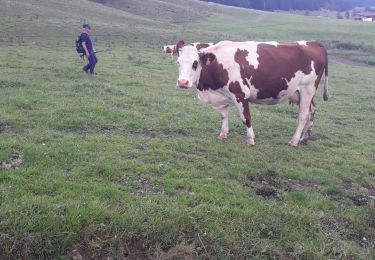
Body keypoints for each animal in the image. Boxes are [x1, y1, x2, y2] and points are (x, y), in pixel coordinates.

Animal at [176, 39, 328, 147]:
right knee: (312, 110)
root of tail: (314, 43)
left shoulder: (240, 94)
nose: (182, 82)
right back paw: (305, 138)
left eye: (195, 63)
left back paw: (294, 141)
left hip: (307, 89)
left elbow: (246, 118)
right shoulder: (222, 95)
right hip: (304, 93)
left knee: (303, 115)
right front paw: (223, 134)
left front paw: (250, 140)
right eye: (178, 62)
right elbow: (224, 115)